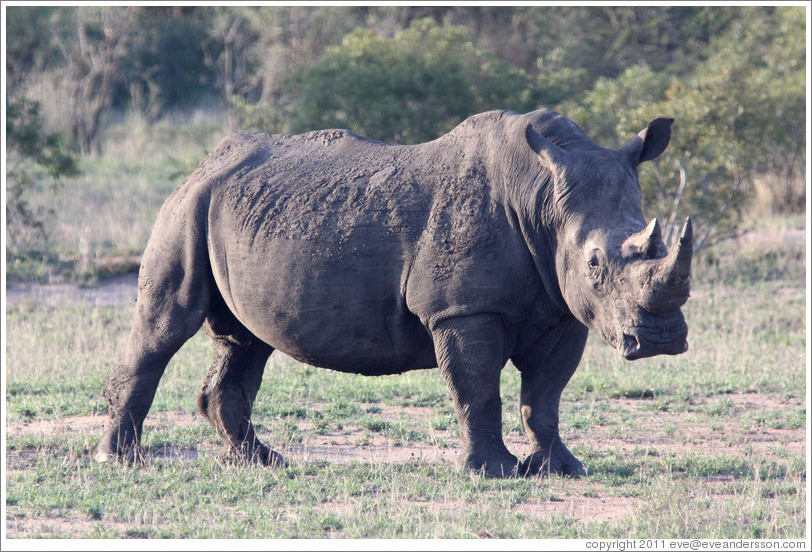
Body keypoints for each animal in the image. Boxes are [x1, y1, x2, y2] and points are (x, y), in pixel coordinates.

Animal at [97, 108, 692, 477]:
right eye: (594, 264)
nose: (660, 339)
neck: (543, 196)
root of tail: (206, 161)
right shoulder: (461, 309)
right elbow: (478, 389)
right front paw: (493, 473)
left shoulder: (564, 310)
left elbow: (544, 396)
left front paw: (561, 469)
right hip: (185, 207)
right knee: (165, 326)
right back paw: (120, 461)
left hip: (233, 210)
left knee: (244, 341)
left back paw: (261, 462)